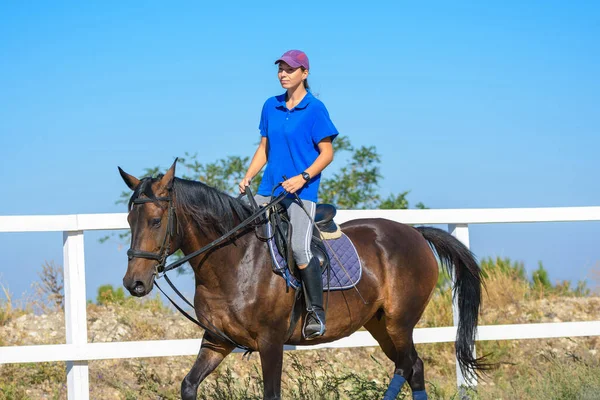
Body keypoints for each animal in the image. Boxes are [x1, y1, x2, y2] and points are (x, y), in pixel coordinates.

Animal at [117, 161, 488, 398]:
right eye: (129, 220)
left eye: (155, 220)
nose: (134, 283)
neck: (234, 260)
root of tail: (415, 232)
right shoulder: (216, 340)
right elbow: (189, 385)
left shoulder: (270, 341)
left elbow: (271, 394)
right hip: (380, 325)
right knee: (410, 368)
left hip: (400, 321)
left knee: (410, 367)